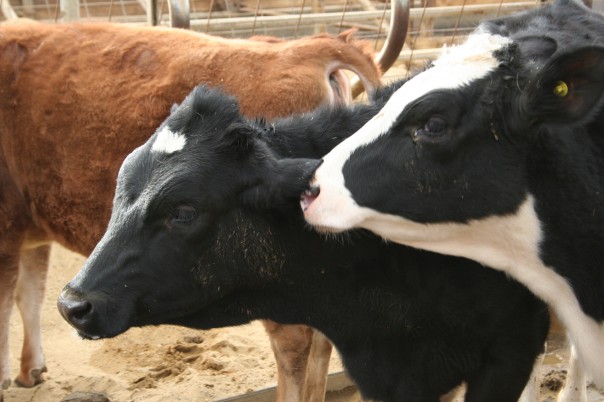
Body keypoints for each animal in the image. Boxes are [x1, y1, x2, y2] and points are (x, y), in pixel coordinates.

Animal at [0, 21, 378, 402]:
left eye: (183, 212)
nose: (72, 305)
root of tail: (312, 47)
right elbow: (29, 295)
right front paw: (30, 369)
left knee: (295, 343)